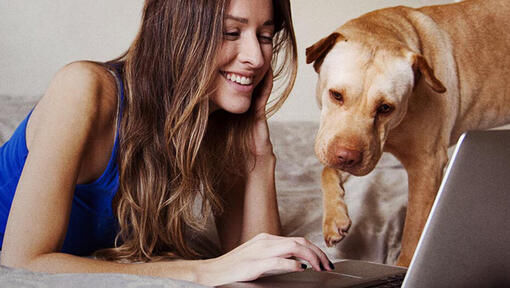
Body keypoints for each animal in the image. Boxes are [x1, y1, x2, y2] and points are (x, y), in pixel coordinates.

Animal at [304, 0, 510, 268]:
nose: (347, 157)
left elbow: (413, 232)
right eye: (336, 95)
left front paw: (403, 267)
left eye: (385, 108)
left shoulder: (426, 166)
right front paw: (334, 218)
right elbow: (327, 170)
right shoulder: (348, 147)